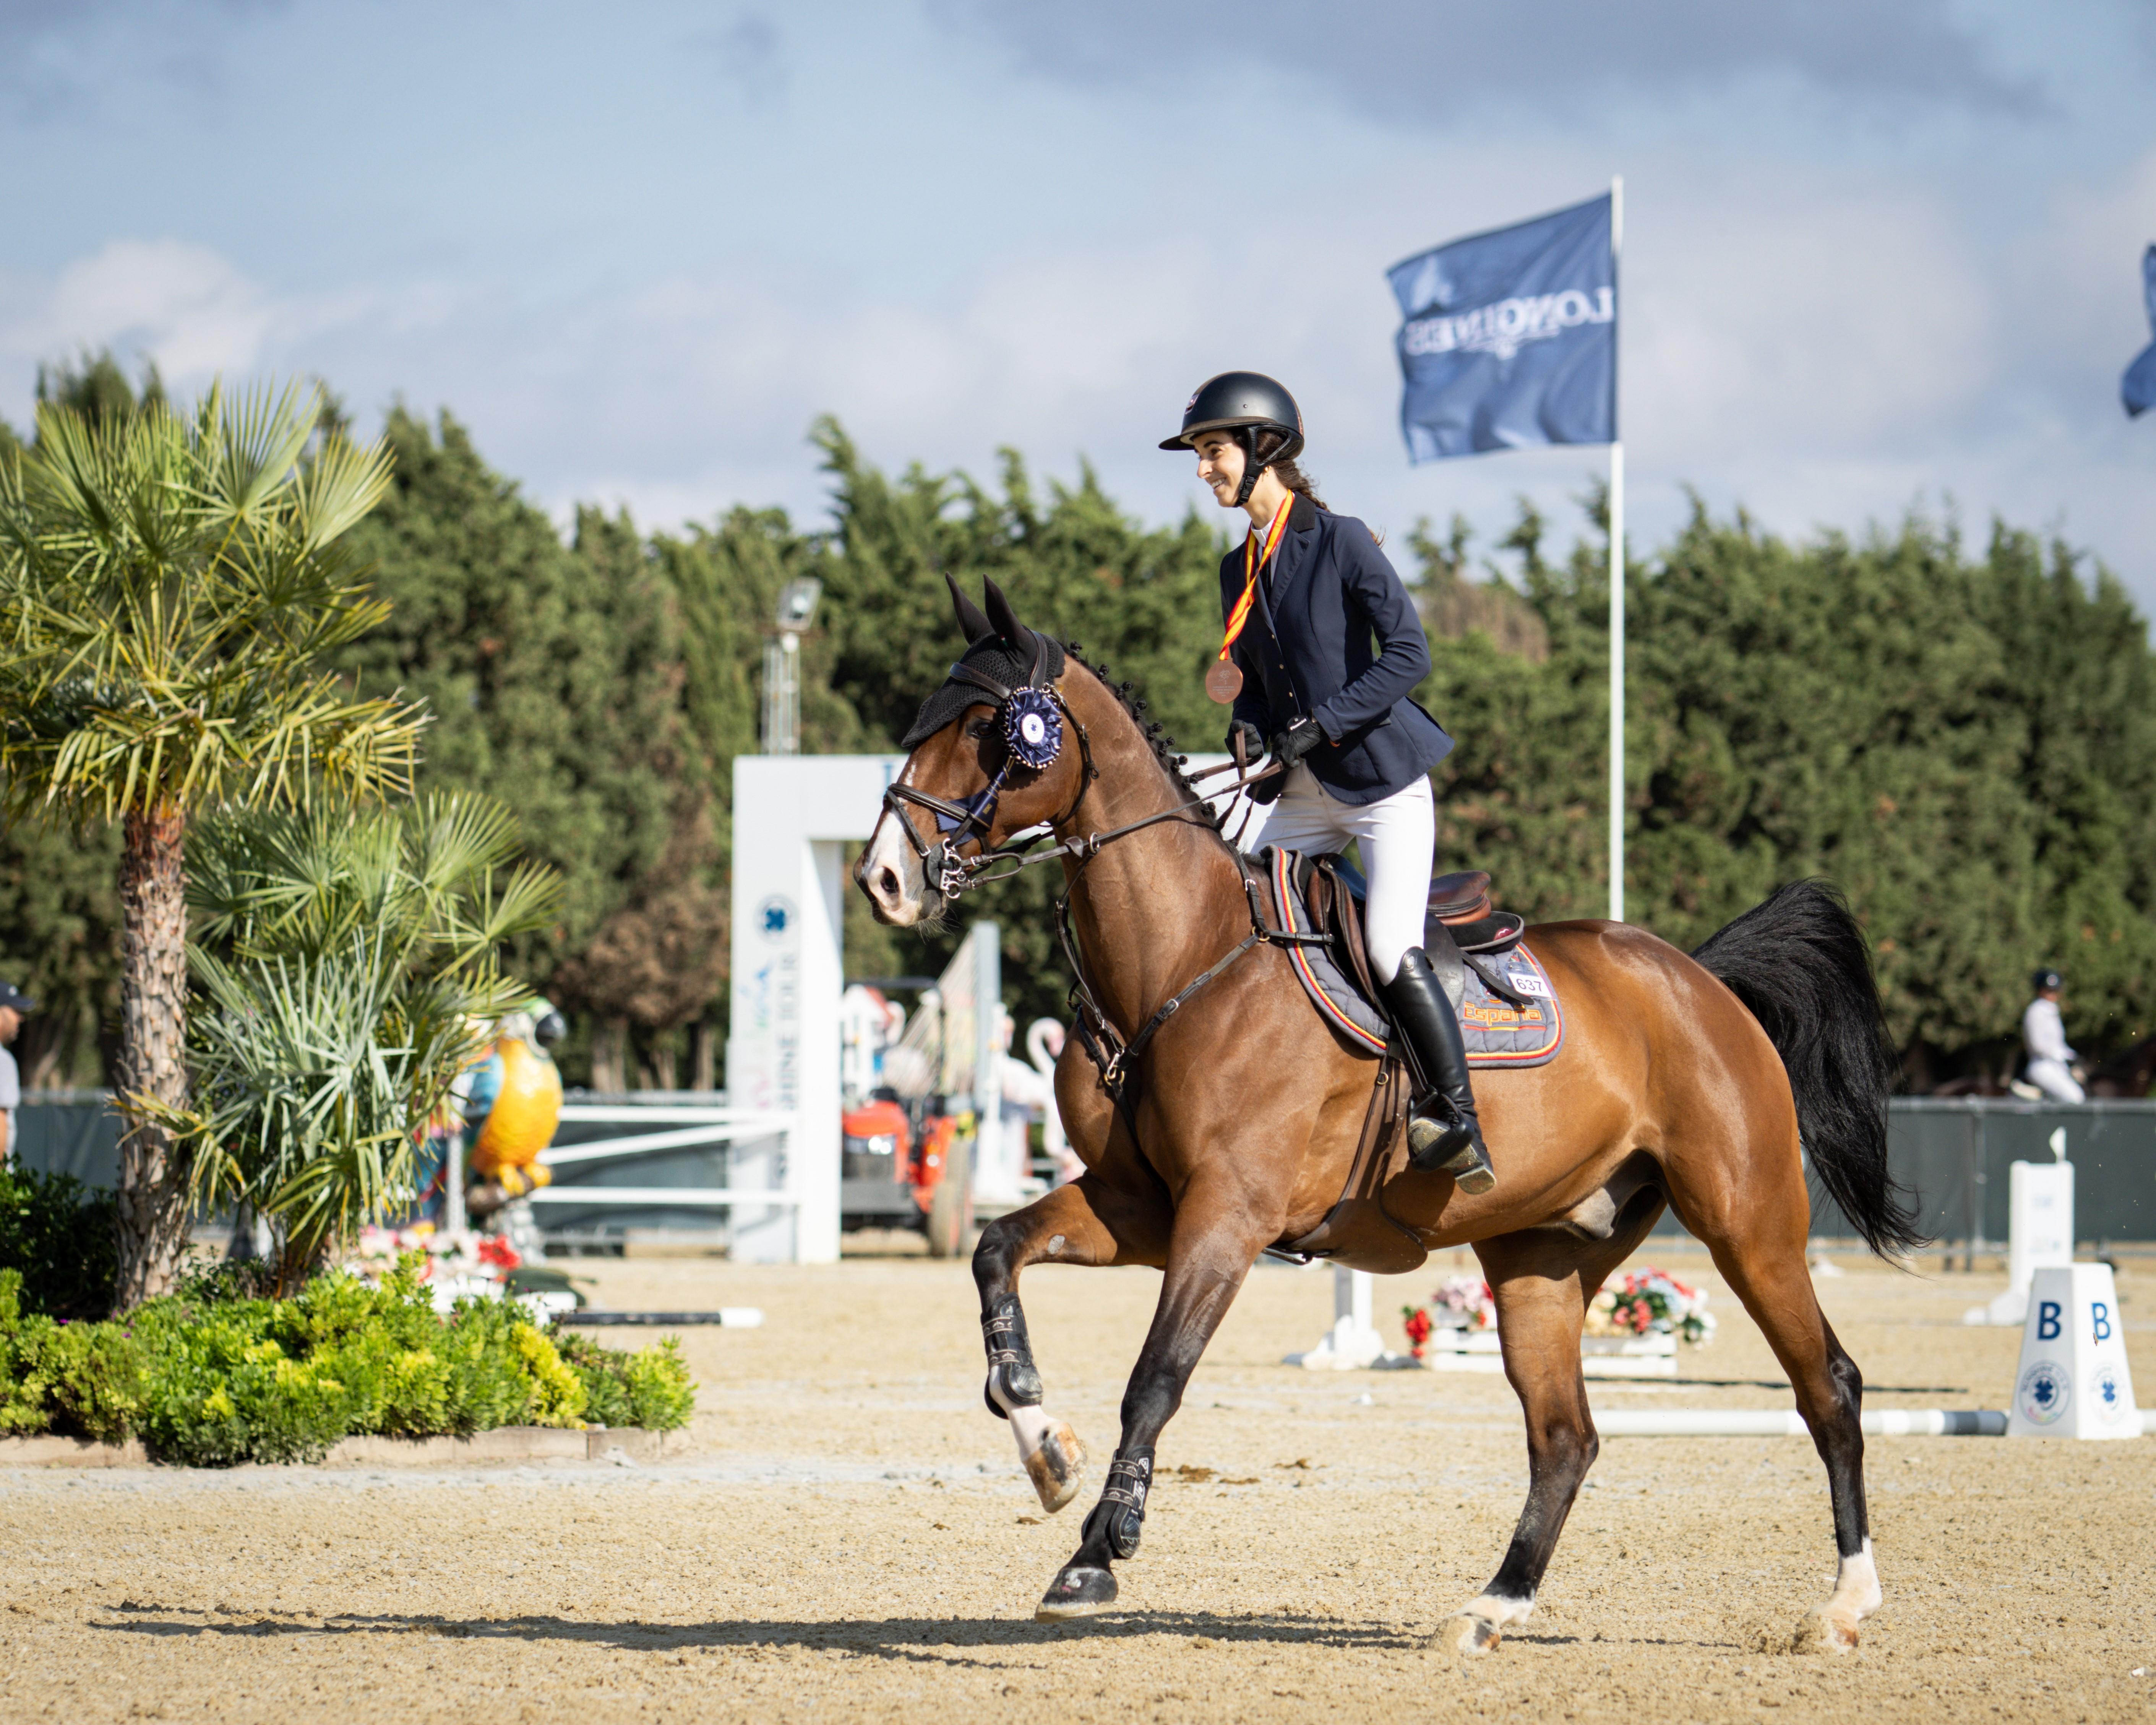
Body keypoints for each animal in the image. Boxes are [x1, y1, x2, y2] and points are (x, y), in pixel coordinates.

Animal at [849, 578, 1932, 1656]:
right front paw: (1046, 1450)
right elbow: (996, 1251)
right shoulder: (1137, 1206)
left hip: (1747, 1222)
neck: (1180, 959)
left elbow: (1156, 1376)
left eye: (986, 728)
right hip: (1540, 1254)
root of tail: (1699, 977)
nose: (884, 877)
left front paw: (1095, 1552)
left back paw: (1843, 1603)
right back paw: (1492, 1607)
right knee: (1565, 1435)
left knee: (1827, 1384)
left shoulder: (1227, 1216)